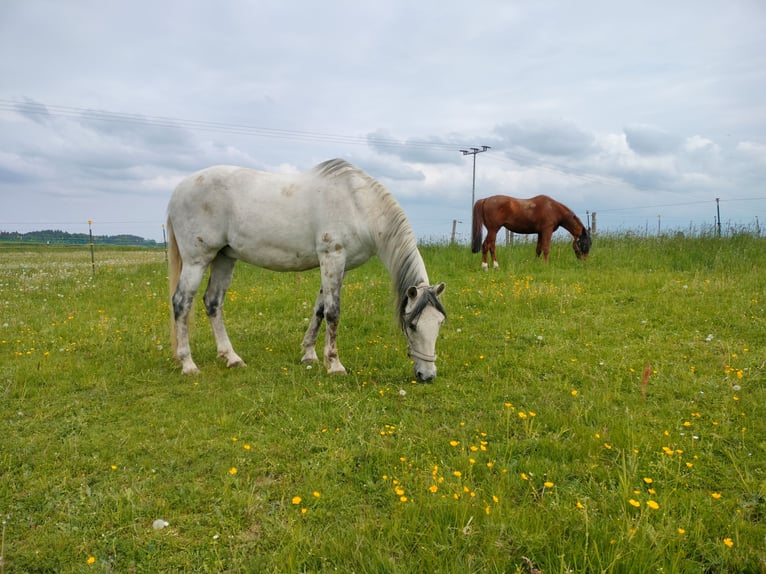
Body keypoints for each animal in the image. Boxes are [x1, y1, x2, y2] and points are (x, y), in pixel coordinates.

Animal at [167, 159, 446, 382]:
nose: (427, 376)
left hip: (224, 258)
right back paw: (188, 364)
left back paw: (231, 357)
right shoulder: (332, 257)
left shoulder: (339, 266)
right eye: (412, 326)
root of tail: (179, 188)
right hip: (197, 260)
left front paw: (309, 354)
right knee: (181, 303)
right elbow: (333, 313)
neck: (357, 204)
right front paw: (334, 364)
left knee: (213, 302)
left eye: (439, 323)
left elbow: (319, 309)